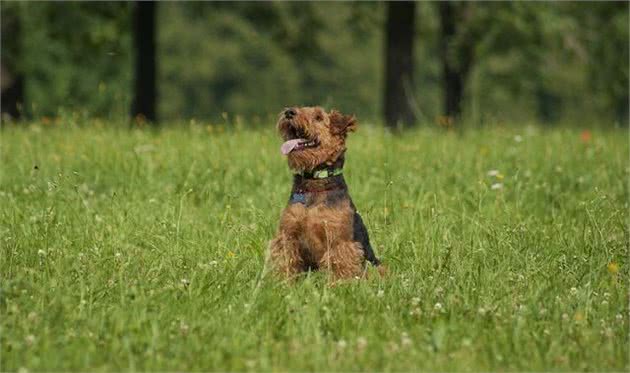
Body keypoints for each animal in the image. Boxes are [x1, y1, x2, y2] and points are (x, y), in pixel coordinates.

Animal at [268, 105, 382, 280]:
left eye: (318, 117)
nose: (289, 112)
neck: (315, 182)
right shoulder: (288, 236)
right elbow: (286, 262)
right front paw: (281, 282)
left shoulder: (338, 242)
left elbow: (340, 266)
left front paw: (339, 284)